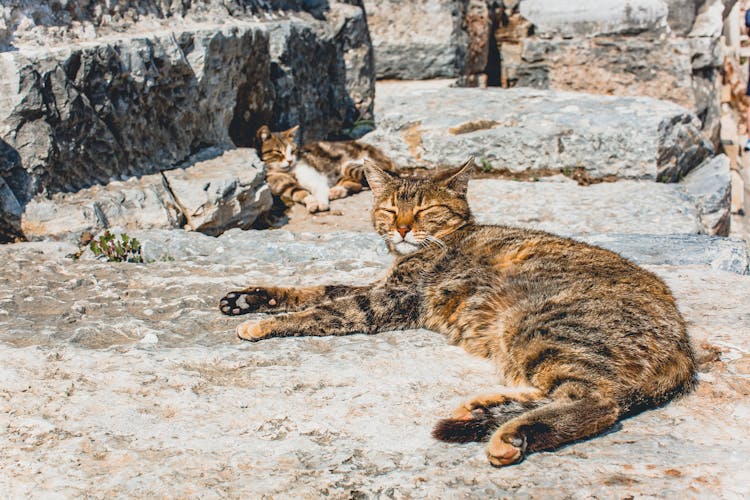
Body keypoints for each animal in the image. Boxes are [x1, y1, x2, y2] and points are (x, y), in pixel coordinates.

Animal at [219, 158, 700, 466]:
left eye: (425, 211)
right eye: (390, 209)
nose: (402, 228)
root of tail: (683, 346)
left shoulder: (388, 300)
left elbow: (323, 310)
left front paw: (263, 323)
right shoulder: (380, 287)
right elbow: (314, 289)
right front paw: (250, 297)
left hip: (540, 326)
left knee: (598, 402)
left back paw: (511, 435)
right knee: (565, 392)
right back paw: (486, 410)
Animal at [258, 125, 400, 213]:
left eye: (292, 151)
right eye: (278, 152)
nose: (289, 160)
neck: (288, 171)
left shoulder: (312, 173)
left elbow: (318, 187)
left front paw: (321, 203)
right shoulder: (281, 183)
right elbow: (299, 193)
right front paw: (312, 203)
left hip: (352, 166)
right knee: (356, 184)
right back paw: (335, 192)